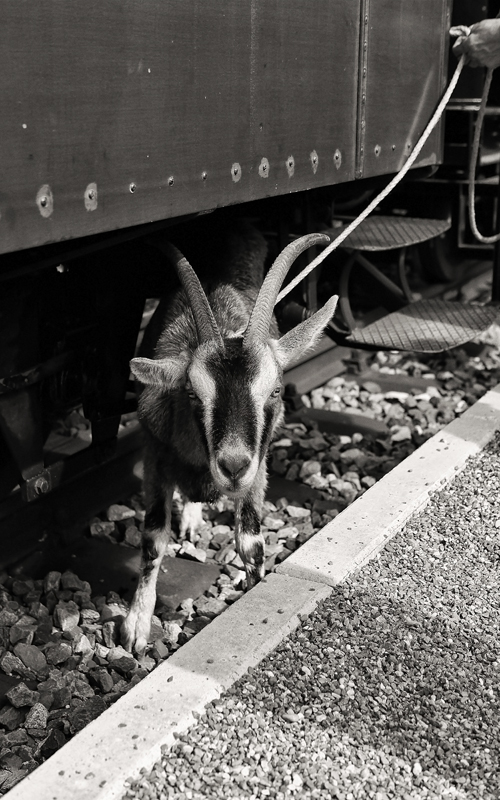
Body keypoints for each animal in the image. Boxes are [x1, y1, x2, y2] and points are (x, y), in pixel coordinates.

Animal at [121, 225, 338, 656]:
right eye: (191, 392)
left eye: (275, 391)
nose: (234, 466)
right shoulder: (154, 455)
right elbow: (153, 538)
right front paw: (136, 625)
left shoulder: (260, 465)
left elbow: (250, 543)